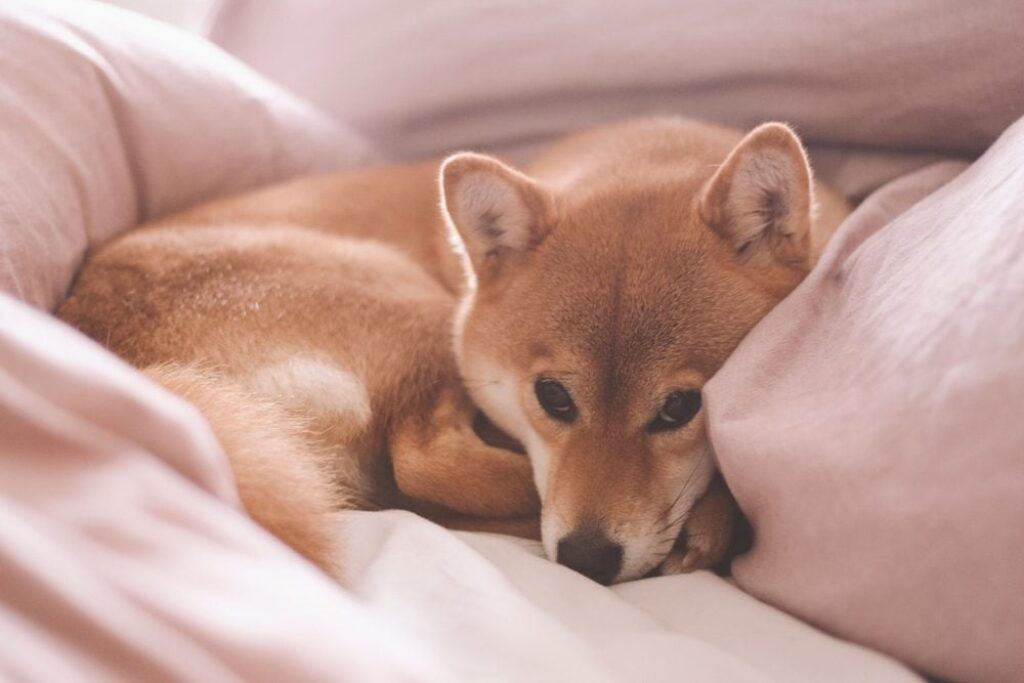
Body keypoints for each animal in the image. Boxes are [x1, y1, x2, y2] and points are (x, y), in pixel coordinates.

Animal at [59, 116, 851, 581]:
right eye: (553, 397)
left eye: (681, 407)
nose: (586, 559)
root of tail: (133, 365)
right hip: (414, 310)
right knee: (423, 463)